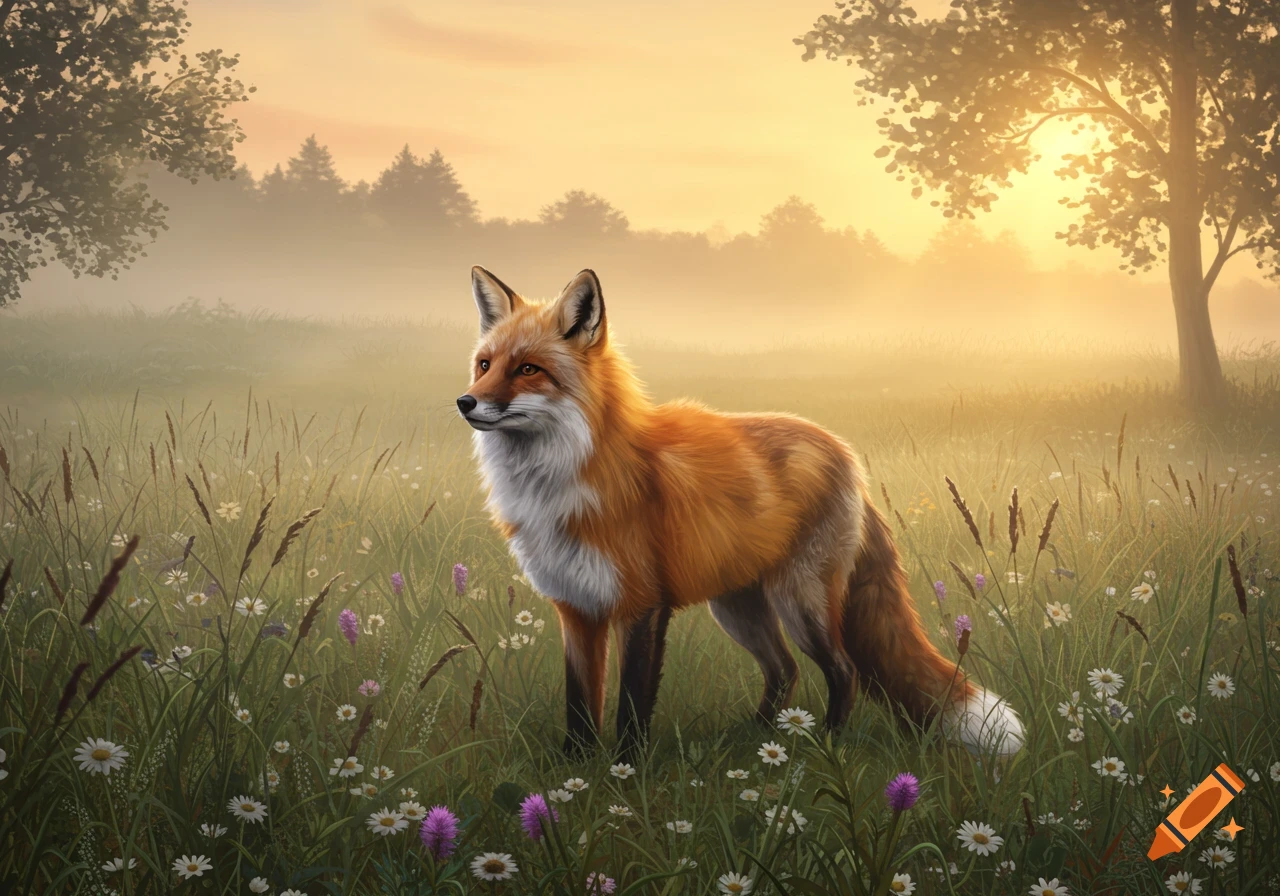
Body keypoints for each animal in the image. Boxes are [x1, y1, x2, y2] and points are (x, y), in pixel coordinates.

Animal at [457, 265, 1024, 760]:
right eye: (485, 365)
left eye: (528, 369)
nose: (465, 402)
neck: (563, 479)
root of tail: (845, 453)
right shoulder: (576, 607)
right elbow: (579, 704)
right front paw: (575, 773)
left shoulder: (641, 605)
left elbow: (632, 705)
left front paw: (626, 771)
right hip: (737, 607)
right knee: (784, 670)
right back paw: (757, 737)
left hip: (800, 601)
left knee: (843, 670)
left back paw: (826, 745)